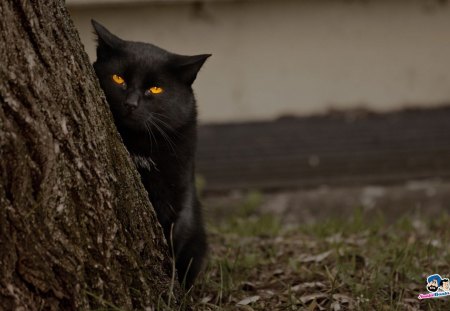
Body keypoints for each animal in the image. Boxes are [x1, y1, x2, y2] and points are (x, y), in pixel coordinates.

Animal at [92, 18, 211, 288]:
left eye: (155, 89)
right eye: (118, 78)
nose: (131, 103)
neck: (140, 145)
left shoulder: (176, 193)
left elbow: (172, 236)